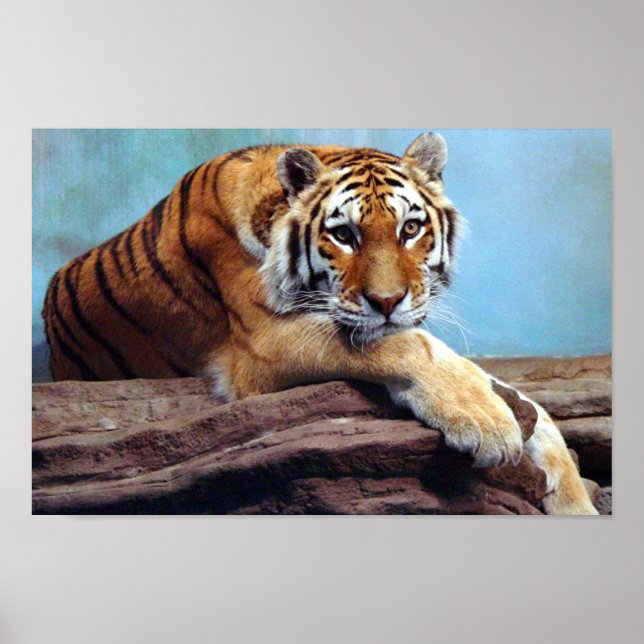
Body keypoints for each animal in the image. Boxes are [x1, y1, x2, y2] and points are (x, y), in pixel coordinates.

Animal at [42, 132, 598, 515]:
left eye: (410, 228)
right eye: (344, 235)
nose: (387, 301)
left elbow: (523, 402)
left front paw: (574, 500)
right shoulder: (264, 343)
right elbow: (414, 347)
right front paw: (486, 424)